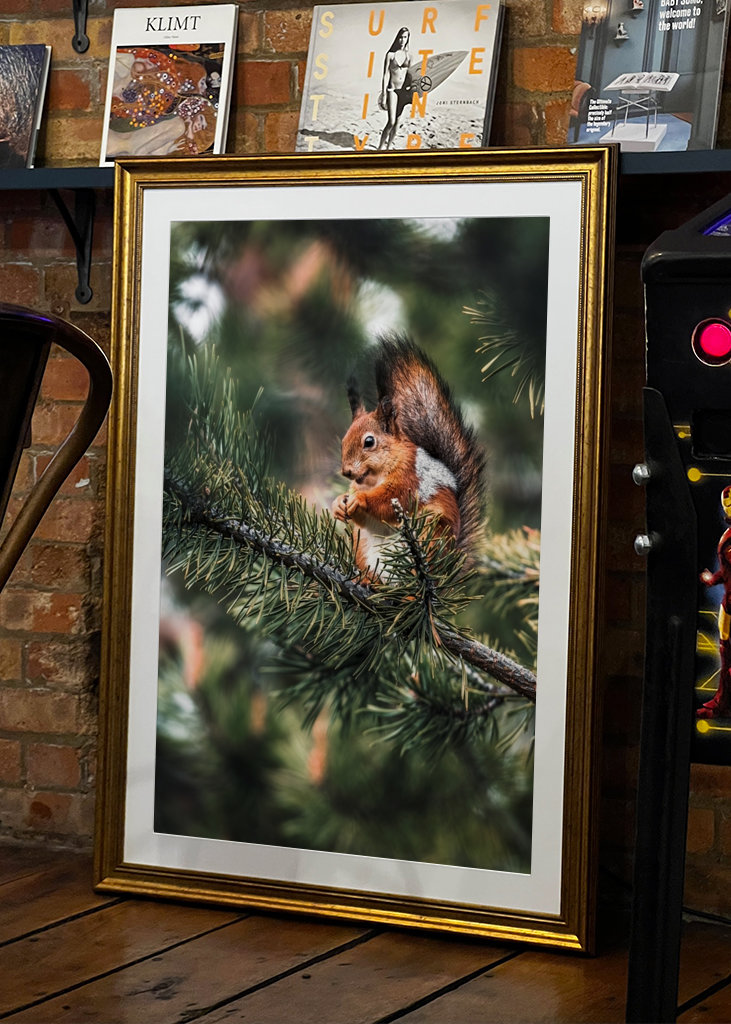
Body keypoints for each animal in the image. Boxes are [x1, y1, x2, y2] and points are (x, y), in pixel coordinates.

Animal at [331, 334, 485, 577]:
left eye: (369, 442)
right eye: (344, 439)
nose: (346, 472)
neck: (375, 478)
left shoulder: (408, 478)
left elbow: (389, 500)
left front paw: (360, 499)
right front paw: (338, 503)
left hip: (431, 535)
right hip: (362, 546)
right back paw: (366, 582)